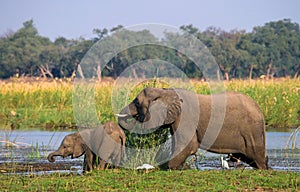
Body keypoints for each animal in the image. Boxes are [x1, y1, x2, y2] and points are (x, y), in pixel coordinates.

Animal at [116, 87, 268, 170]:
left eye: (136, 102)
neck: (165, 91)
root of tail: (260, 111)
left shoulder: (185, 117)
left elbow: (189, 145)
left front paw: (173, 167)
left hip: (252, 131)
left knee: (257, 158)